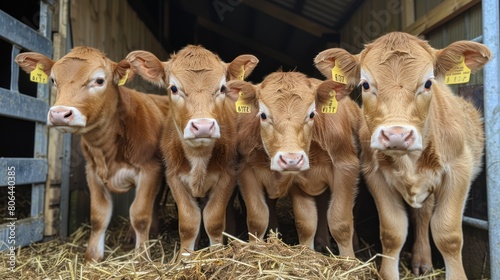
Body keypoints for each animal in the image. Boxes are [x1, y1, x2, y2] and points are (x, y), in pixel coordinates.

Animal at [15, 46, 169, 262]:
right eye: (53, 80)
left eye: (99, 80)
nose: (59, 114)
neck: (106, 150)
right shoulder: (93, 172)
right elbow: (98, 216)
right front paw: (92, 257)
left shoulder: (150, 169)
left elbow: (139, 215)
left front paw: (141, 258)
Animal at [125, 44, 260, 255]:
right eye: (173, 88)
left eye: (222, 88)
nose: (203, 126)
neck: (199, 155)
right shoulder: (173, 177)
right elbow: (189, 223)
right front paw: (185, 257)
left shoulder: (228, 176)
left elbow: (213, 220)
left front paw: (216, 253)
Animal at [229, 70, 362, 258]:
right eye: (263, 115)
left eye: (312, 114)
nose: (291, 159)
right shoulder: (246, 170)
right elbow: (267, 219)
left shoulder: (346, 168)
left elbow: (340, 223)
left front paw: (348, 260)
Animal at [314, 31, 490, 278]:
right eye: (365, 84)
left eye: (428, 83)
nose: (396, 135)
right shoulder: (374, 175)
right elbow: (393, 232)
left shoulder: (459, 170)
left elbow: (448, 235)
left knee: (424, 216)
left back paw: (423, 261)